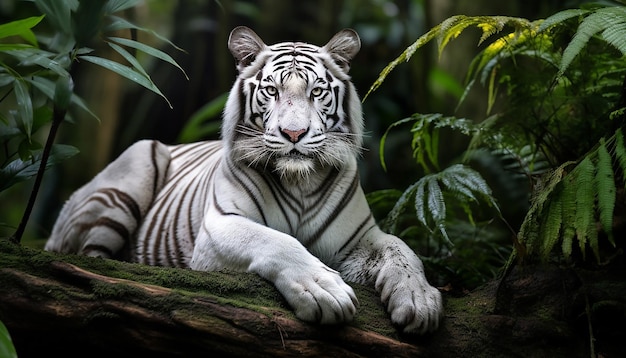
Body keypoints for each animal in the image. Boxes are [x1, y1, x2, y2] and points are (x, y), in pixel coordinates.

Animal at [45, 26, 438, 334]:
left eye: (316, 92)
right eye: (272, 91)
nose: (293, 134)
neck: (299, 182)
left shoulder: (360, 237)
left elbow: (402, 249)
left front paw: (420, 300)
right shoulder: (217, 228)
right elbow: (277, 241)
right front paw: (324, 290)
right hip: (134, 166)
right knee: (92, 260)